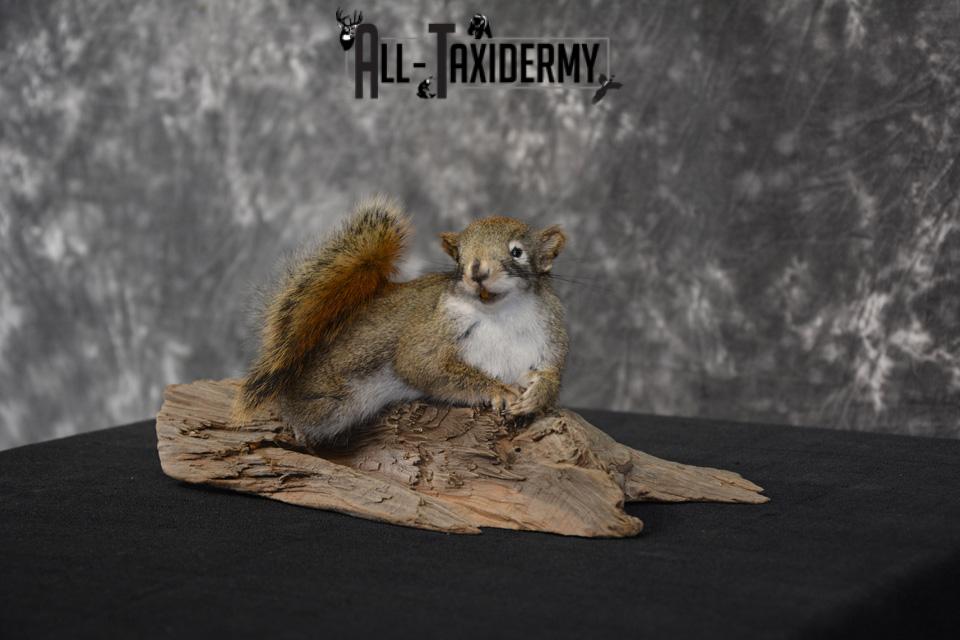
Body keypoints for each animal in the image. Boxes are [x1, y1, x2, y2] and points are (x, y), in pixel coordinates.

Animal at [237, 196, 568, 448]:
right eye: (459, 257)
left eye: (517, 252)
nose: (477, 271)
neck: (500, 312)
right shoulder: (430, 332)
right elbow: (420, 364)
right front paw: (498, 389)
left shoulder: (550, 337)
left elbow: (550, 374)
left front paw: (538, 394)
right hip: (327, 403)